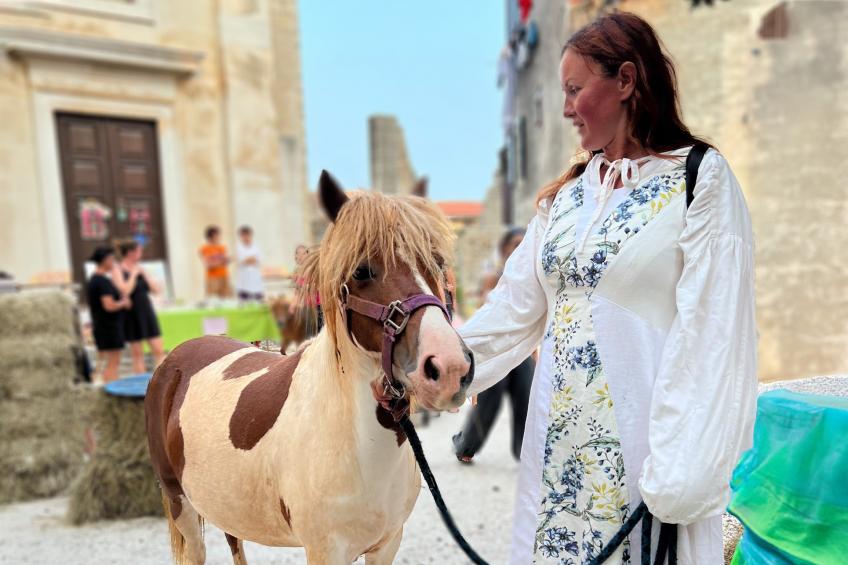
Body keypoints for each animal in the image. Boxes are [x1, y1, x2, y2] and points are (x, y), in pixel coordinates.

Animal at [147, 173, 476, 564]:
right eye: (362, 270)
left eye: (436, 263)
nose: (450, 367)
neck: (351, 439)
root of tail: (175, 359)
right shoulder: (324, 551)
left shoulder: (387, 543)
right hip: (180, 504)